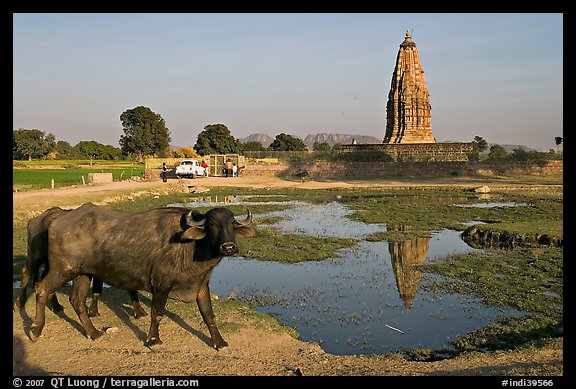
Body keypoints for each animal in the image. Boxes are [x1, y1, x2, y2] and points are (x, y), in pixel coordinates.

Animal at [15, 206, 148, 318]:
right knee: (26, 271)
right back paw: (20, 302)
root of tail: (35, 220)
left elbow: (101, 290)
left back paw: (56, 306)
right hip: (37, 255)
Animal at [30, 203, 255, 348]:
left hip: (82, 273)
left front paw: (219, 341)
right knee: (41, 288)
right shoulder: (161, 284)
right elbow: (158, 312)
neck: (190, 247)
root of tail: (57, 220)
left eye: (232, 223)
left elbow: (208, 314)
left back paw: (93, 333)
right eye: (211, 224)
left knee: (76, 300)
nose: (229, 247)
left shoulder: (201, 285)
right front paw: (153, 340)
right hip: (61, 269)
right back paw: (35, 330)